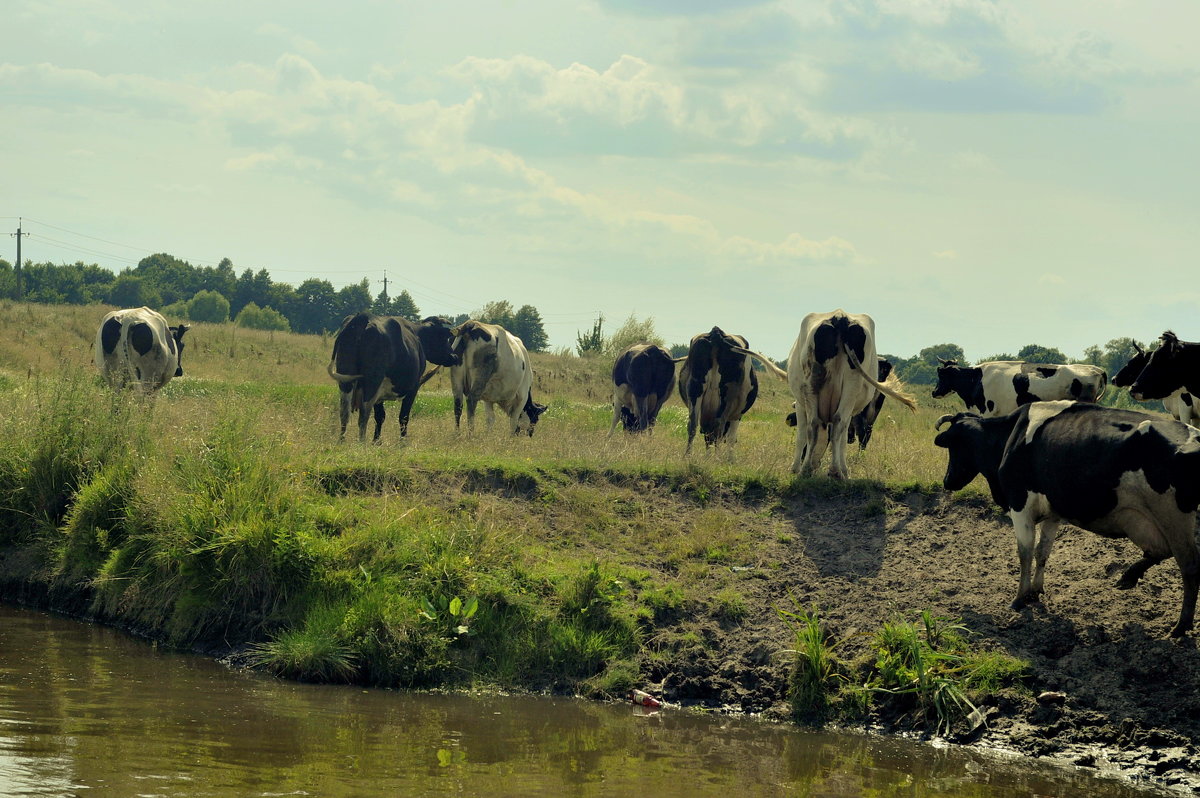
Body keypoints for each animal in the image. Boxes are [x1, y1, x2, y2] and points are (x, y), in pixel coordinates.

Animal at [328, 312, 458, 441]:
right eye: (444, 338)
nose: (454, 356)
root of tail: (363, 317)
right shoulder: (413, 387)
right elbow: (403, 417)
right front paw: (402, 441)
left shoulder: (379, 395)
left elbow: (380, 416)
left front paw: (376, 441)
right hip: (372, 381)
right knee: (363, 415)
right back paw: (361, 442)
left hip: (345, 379)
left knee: (344, 413)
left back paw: (342, 440)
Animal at [936, 400, 1200, 638]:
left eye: (953, 446)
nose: (947, 481)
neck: (1012, 435)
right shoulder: (1053, 513)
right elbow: (1042, 552)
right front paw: (1035, 591)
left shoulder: (1019, 505)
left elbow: (1025, 554)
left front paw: (1020, 598)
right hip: (1145, 521)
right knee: (1160, 551)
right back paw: (1128, 577)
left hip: (1175, 518)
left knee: (1188, 567)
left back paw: (1180, 627)